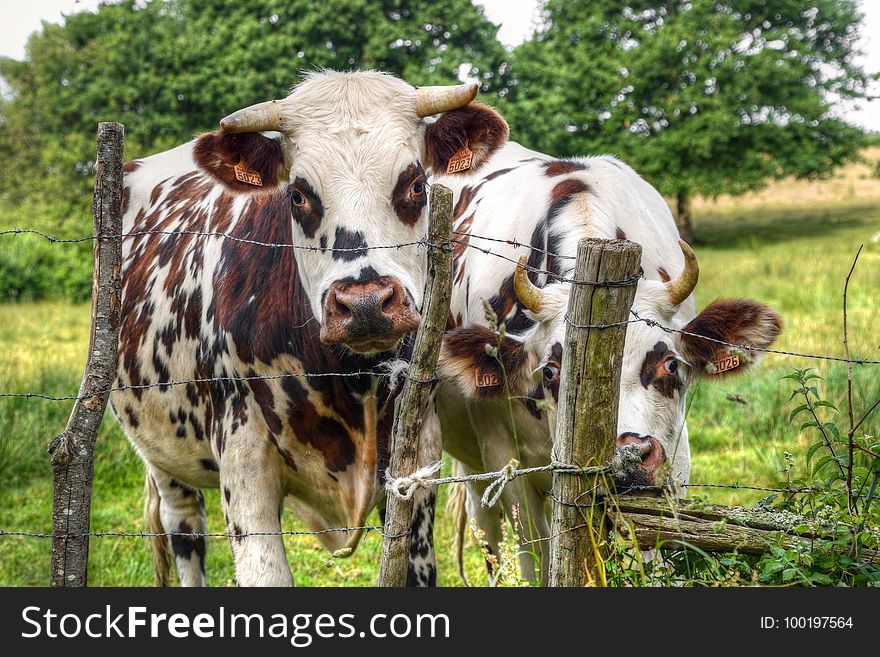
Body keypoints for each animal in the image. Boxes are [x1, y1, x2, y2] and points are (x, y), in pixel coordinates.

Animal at [426, 105, 784, 580]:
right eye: (551, 371)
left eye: (671, 364)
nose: (629, 456)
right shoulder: (507, 462)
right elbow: (538, 559)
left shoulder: (674, 460)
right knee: (488, 534)